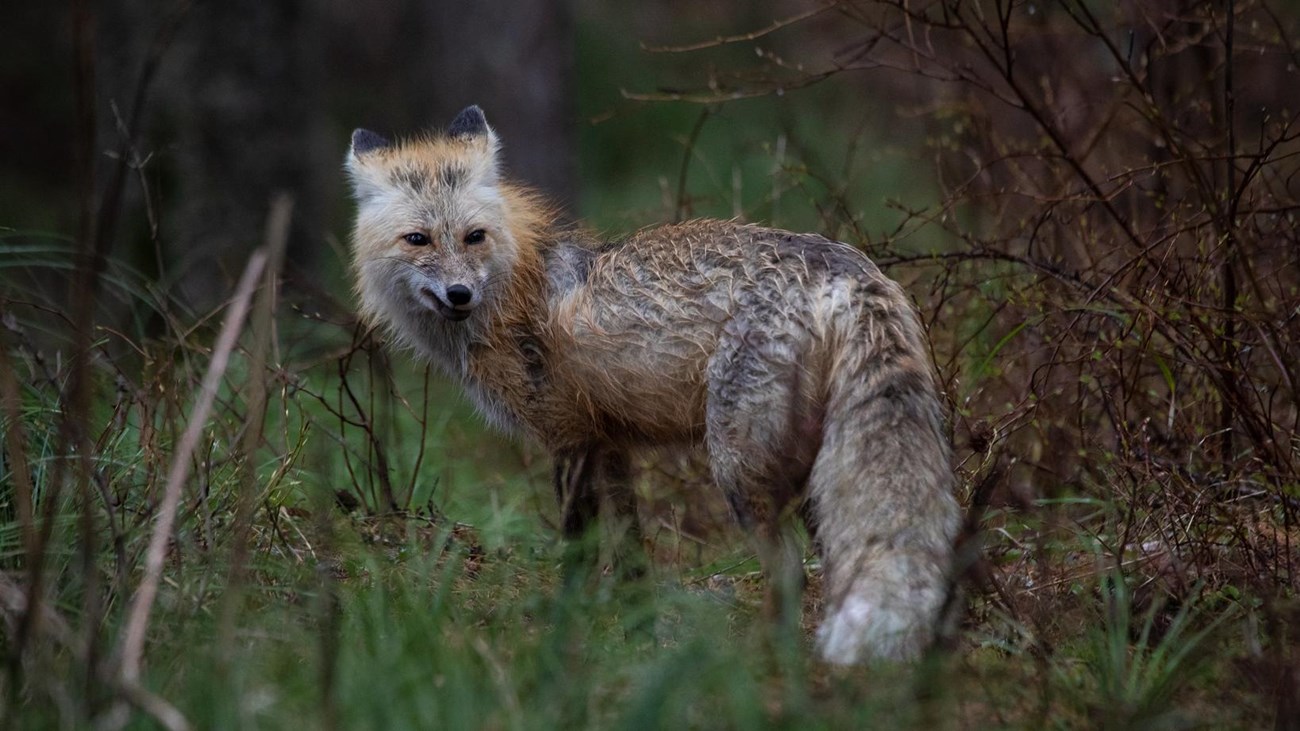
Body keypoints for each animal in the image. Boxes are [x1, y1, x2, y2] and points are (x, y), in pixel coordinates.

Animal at [344, 105, 960, 664]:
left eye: (473, 237)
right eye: (418, 239)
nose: (459, 295)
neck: (518, 291)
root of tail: (845, 265)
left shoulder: (568, 438)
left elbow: (578, 551)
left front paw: (565, 632)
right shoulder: (610, 444)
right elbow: (634, 560)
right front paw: (637, 635)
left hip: (739, 467)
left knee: (789, 572)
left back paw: (763, 663)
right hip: (813, 468)